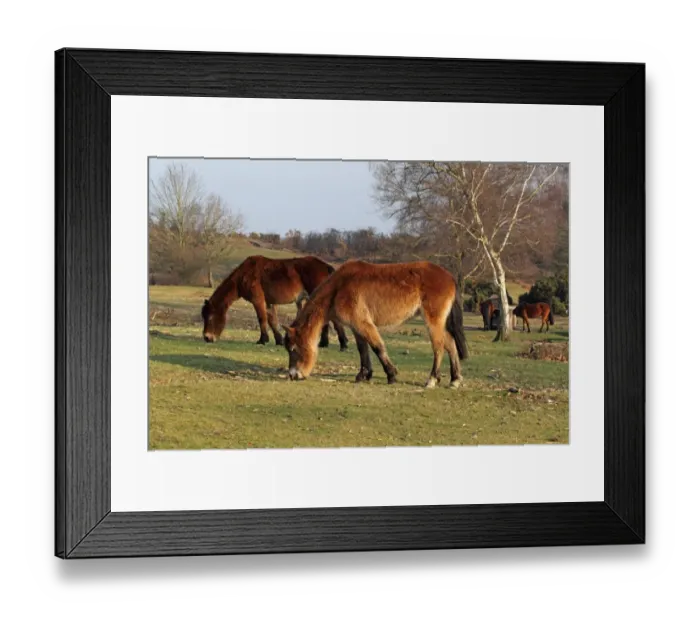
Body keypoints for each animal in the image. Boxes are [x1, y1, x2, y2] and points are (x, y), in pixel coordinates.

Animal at [201, 255, 349, 350]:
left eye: (210, 317)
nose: (207, 338)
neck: (244, 275)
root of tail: (325, 266)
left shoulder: (258, 300)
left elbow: (262, 318)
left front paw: (262, 339)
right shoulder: (268, 303)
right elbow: (272, 320)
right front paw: (279, 340)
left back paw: (343, 343)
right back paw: (325, 343)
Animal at [281, 260, 469, 389]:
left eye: (293, 349)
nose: (293, 375)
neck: (339, 287)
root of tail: (449, 277)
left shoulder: (363, 324)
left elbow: (377, 347)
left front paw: (391, 375)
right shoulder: (356, 327)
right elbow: (363, 349)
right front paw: (363, 375)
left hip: (433, 321)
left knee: (438, 347)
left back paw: (432, 379)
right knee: (450, 343)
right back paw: (455, 379)